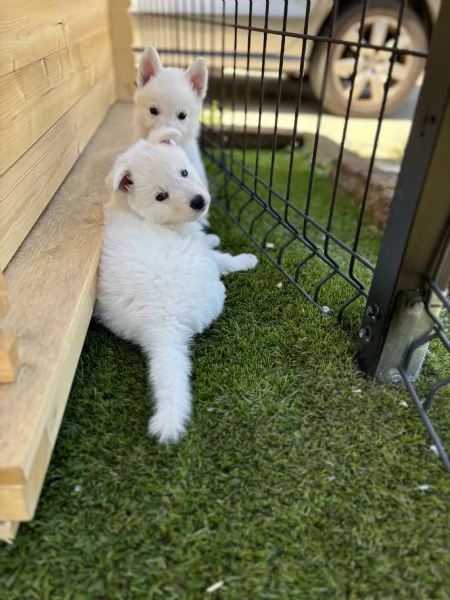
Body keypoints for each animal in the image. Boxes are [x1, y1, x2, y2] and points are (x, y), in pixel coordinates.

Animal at [96, 130, 258, 440]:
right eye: (161, 196)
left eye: (184, 172)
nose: (199, 201)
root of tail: (162, 326)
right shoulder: (192, 244)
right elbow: (219, 256)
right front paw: (244, 259)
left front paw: (212, 236)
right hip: (197, 272)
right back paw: (222, 288)